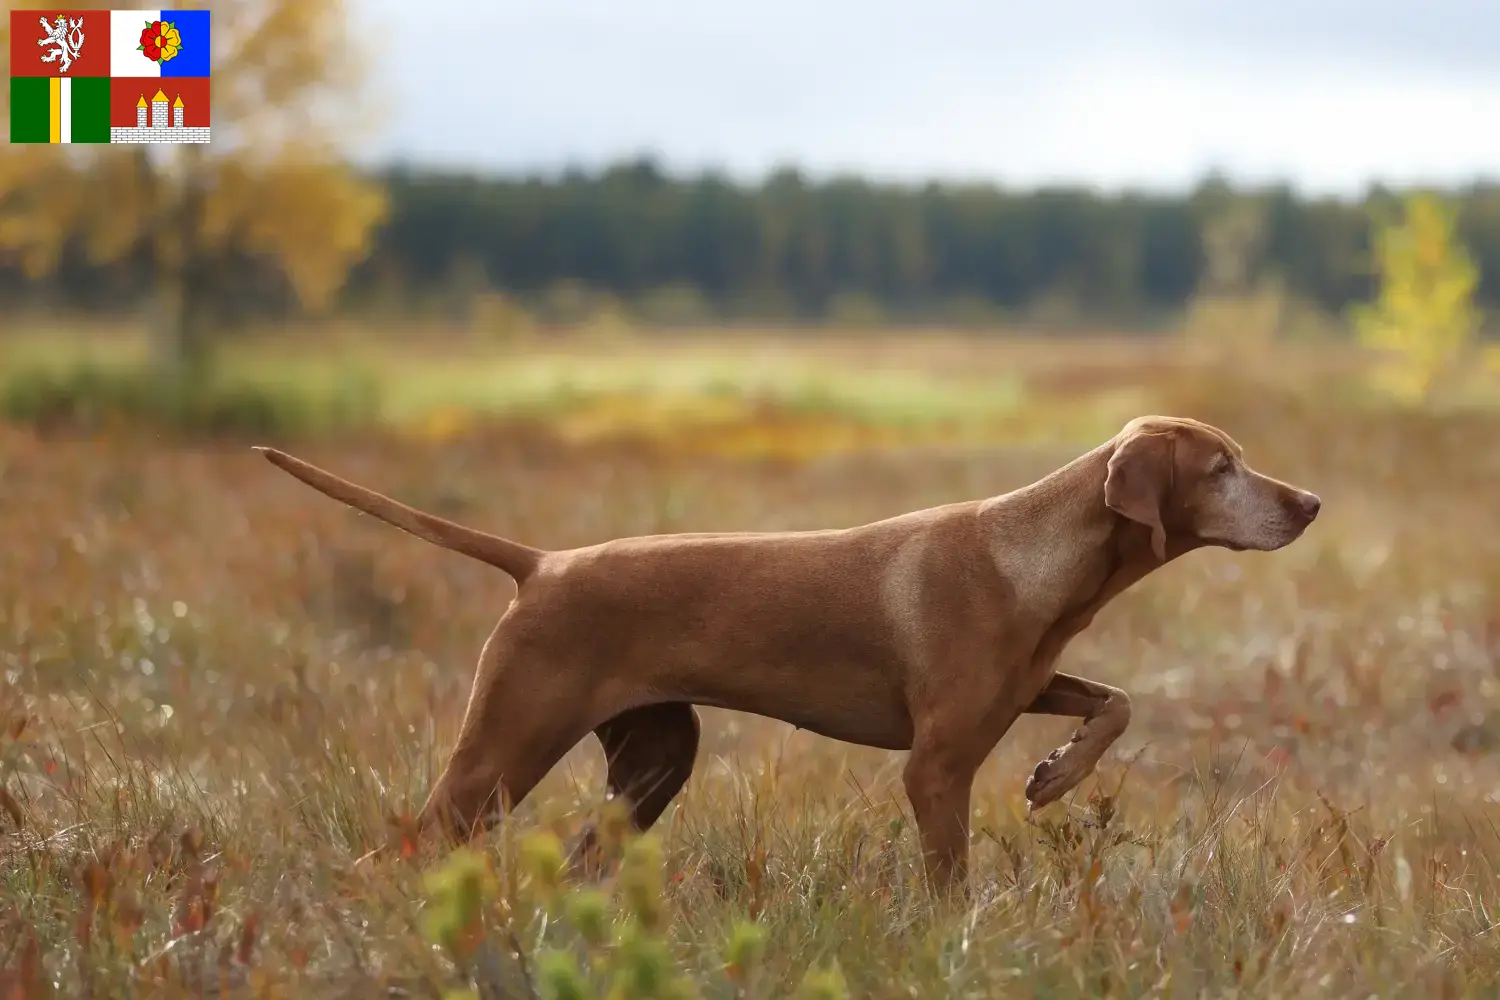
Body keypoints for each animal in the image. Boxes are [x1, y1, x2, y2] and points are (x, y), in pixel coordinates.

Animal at [255, 413, 1314, 893]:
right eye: (1221, 468)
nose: (1308, 504)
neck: (1037, 559)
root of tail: (543, 564)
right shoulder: (936, 767)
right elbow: (949, 879)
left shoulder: (1025, 688)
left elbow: (1117, 701)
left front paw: (1057, 773)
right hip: (504, 751)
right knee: (402, 844)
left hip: (656, 759)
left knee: (587, 857)